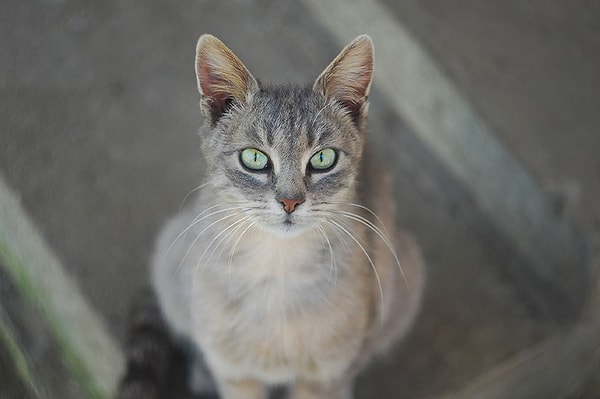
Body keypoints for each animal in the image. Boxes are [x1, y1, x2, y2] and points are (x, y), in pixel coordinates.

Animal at [129, 34, 424, 399]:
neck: (277, 267)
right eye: (254, 158)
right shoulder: (236, 374)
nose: (289, 201)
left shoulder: (321, 376)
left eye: (323, 158)